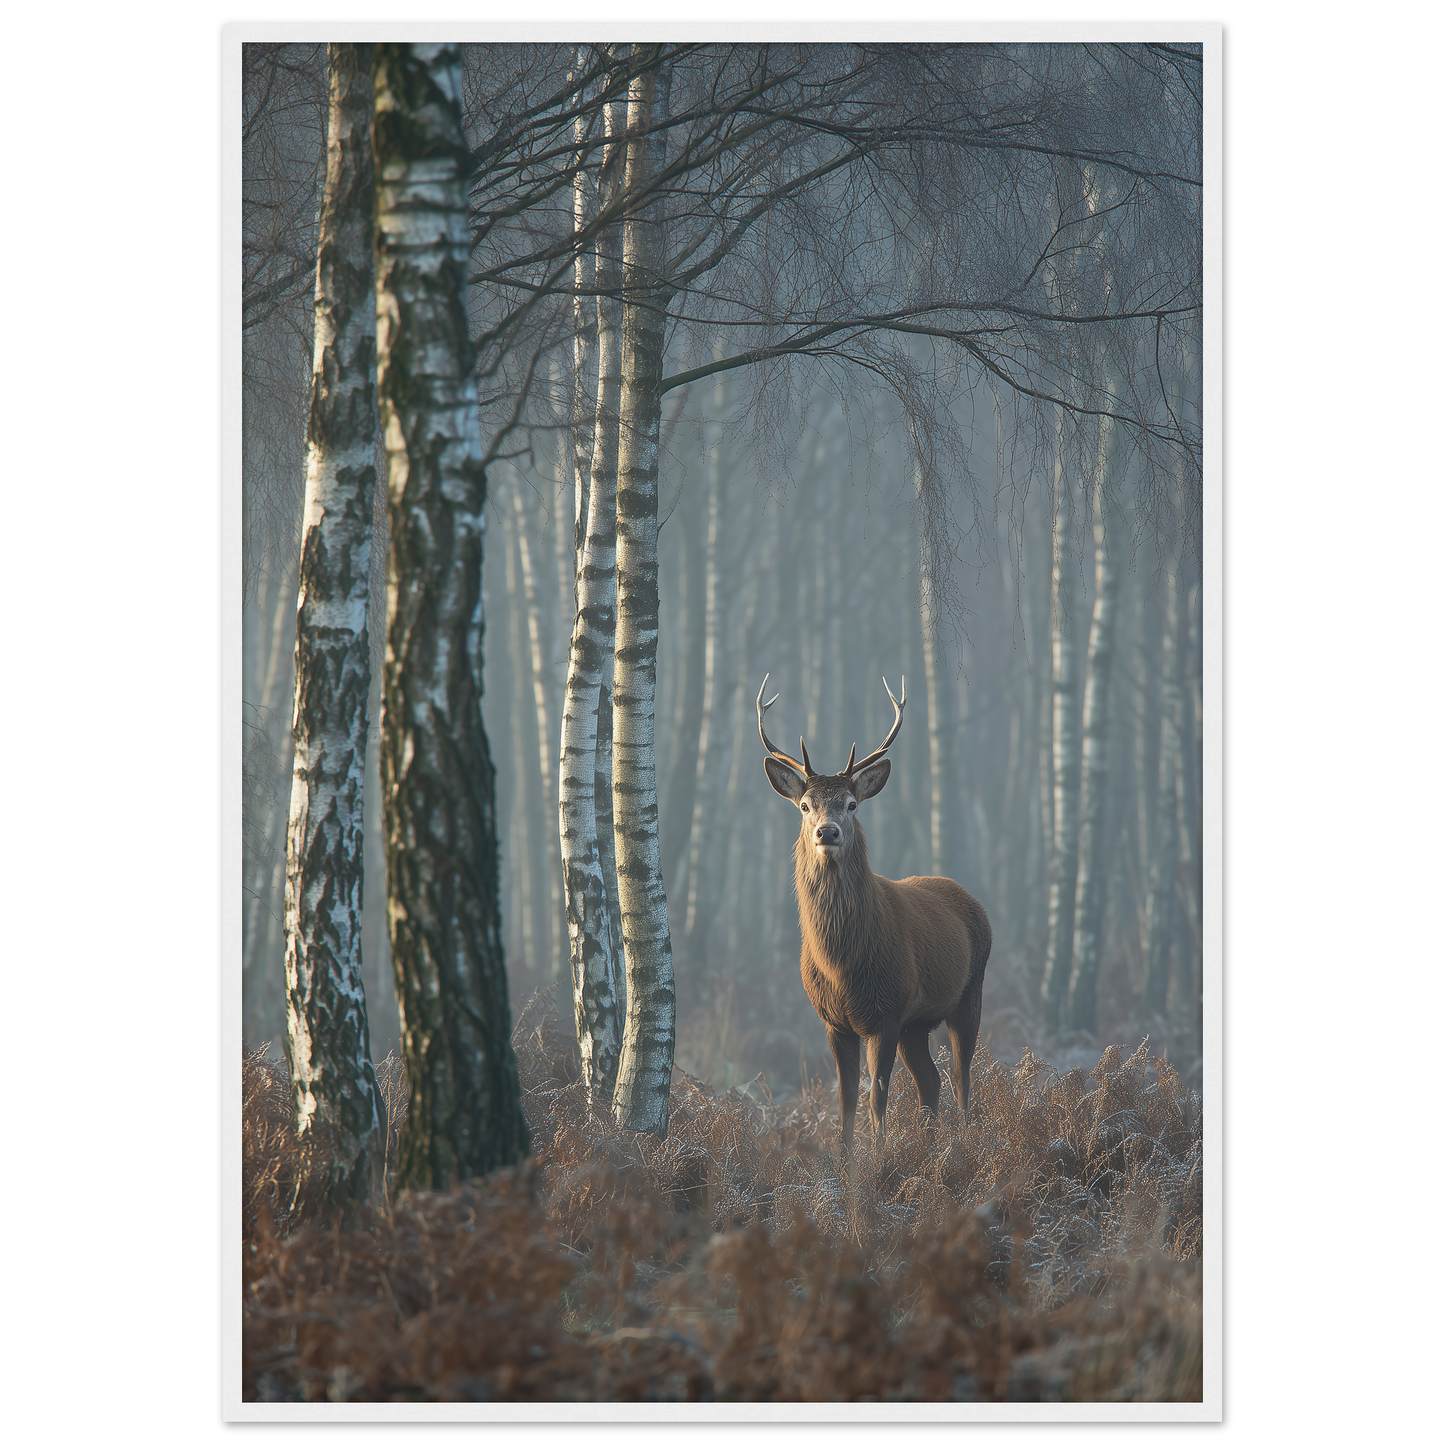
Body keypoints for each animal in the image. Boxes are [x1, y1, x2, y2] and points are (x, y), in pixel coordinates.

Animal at [758, 673, 991, 1164]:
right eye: (805, 805)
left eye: (851, 803)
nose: (827, 832)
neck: (843, 966)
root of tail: (971, 900)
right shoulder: (835, 1021)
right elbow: (846, 1098)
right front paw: (846, 1164)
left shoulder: (885, 1012)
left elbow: (876, 1096)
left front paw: (879, 1160)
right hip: (916, 1023)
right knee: (931, 1081)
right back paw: (930, 1147)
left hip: (969, 992)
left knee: (962, 1078)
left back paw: (964, 1144)